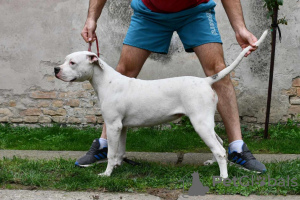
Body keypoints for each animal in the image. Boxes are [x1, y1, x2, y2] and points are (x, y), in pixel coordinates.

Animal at [55, 30, 268, 178]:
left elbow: (111, 153)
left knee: (220, 150)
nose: (56, 69)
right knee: (220, 144)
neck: (106, 81)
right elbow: (119, 152)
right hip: (206, 123)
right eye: (64, 60)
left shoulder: (113, 125)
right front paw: (117, 167)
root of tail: (206, 81)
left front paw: (107, 174)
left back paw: (223, 177)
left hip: (200, 123)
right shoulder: (121, 127)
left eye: (72, 63)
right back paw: (212, 164)